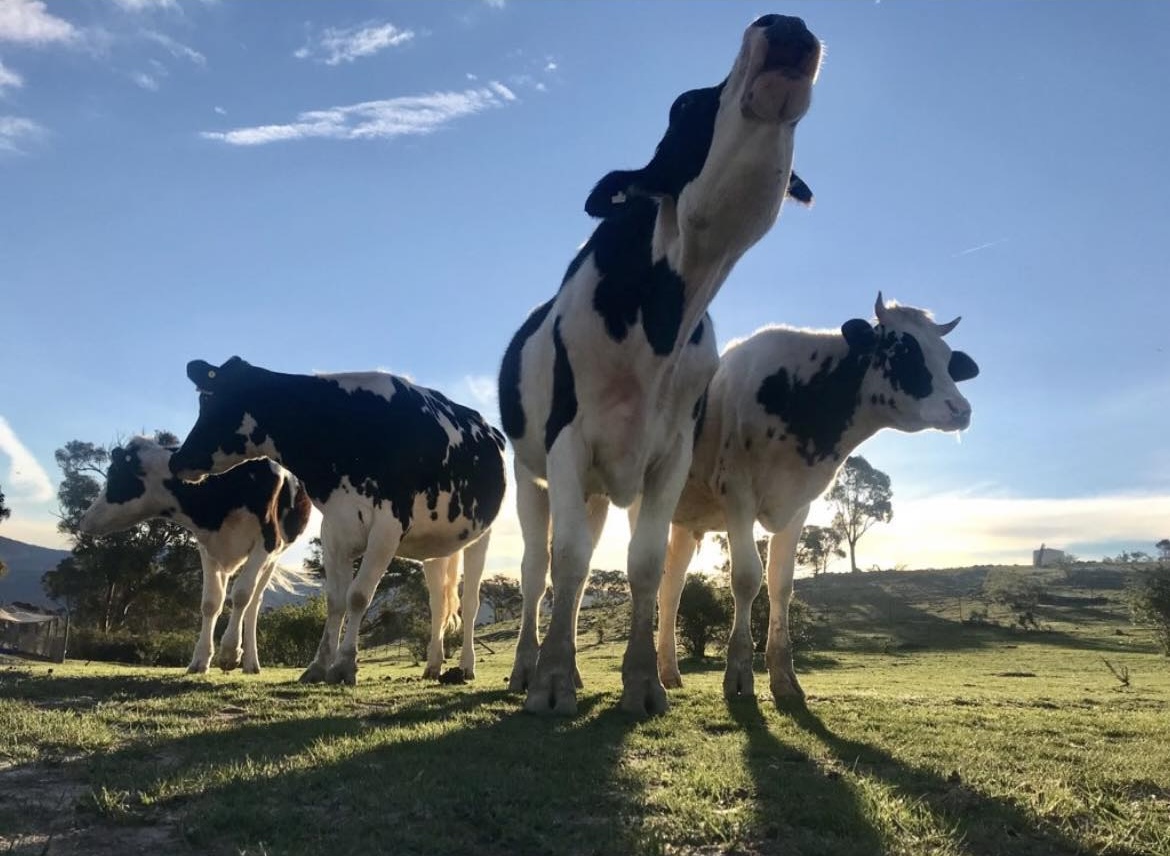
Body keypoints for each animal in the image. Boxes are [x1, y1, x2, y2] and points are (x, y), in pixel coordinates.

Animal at [78, 436, 311, 674]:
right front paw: (200, 660)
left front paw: (229, 652)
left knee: (253, 603)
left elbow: (241, 595)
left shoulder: (267, 543)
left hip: (273, 557)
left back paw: (250, 662)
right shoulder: (208, 547)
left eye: (115, 475)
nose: (83, 520)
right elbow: (211, 602)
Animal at [168, 357, 507, 685]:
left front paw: (344, 666)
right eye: (203, 399)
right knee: (438, 603)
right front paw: (318, 666)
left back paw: (466, 666)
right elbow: (335, 601)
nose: (177, 460)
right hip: (436, 546)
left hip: (483, 535)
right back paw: (434, 666)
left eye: (217, 401)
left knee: (471, 603)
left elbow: (357, 596)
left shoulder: (387, 527)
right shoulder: (333, 528)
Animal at [498, 14, 822, 715]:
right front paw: (553, 681)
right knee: (539, 570)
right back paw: (525, 668)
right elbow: (566, 561)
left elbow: (642, 565)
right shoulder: (567, 441)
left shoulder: (670, 451)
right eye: (683, 105)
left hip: (596, 488)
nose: (784, 22)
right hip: (531, 475)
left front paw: (643, 681)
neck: (663, 312)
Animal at [660, 294, 980, 700]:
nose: (961, 409)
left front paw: (784, 679)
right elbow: (747, 578)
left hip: (685, 521)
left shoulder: (798, 505)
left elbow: (781, 584)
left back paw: (667, 672)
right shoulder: (738, 496)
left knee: (670, 586)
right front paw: (739, 676)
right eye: (902, 350)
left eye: (948, 357)